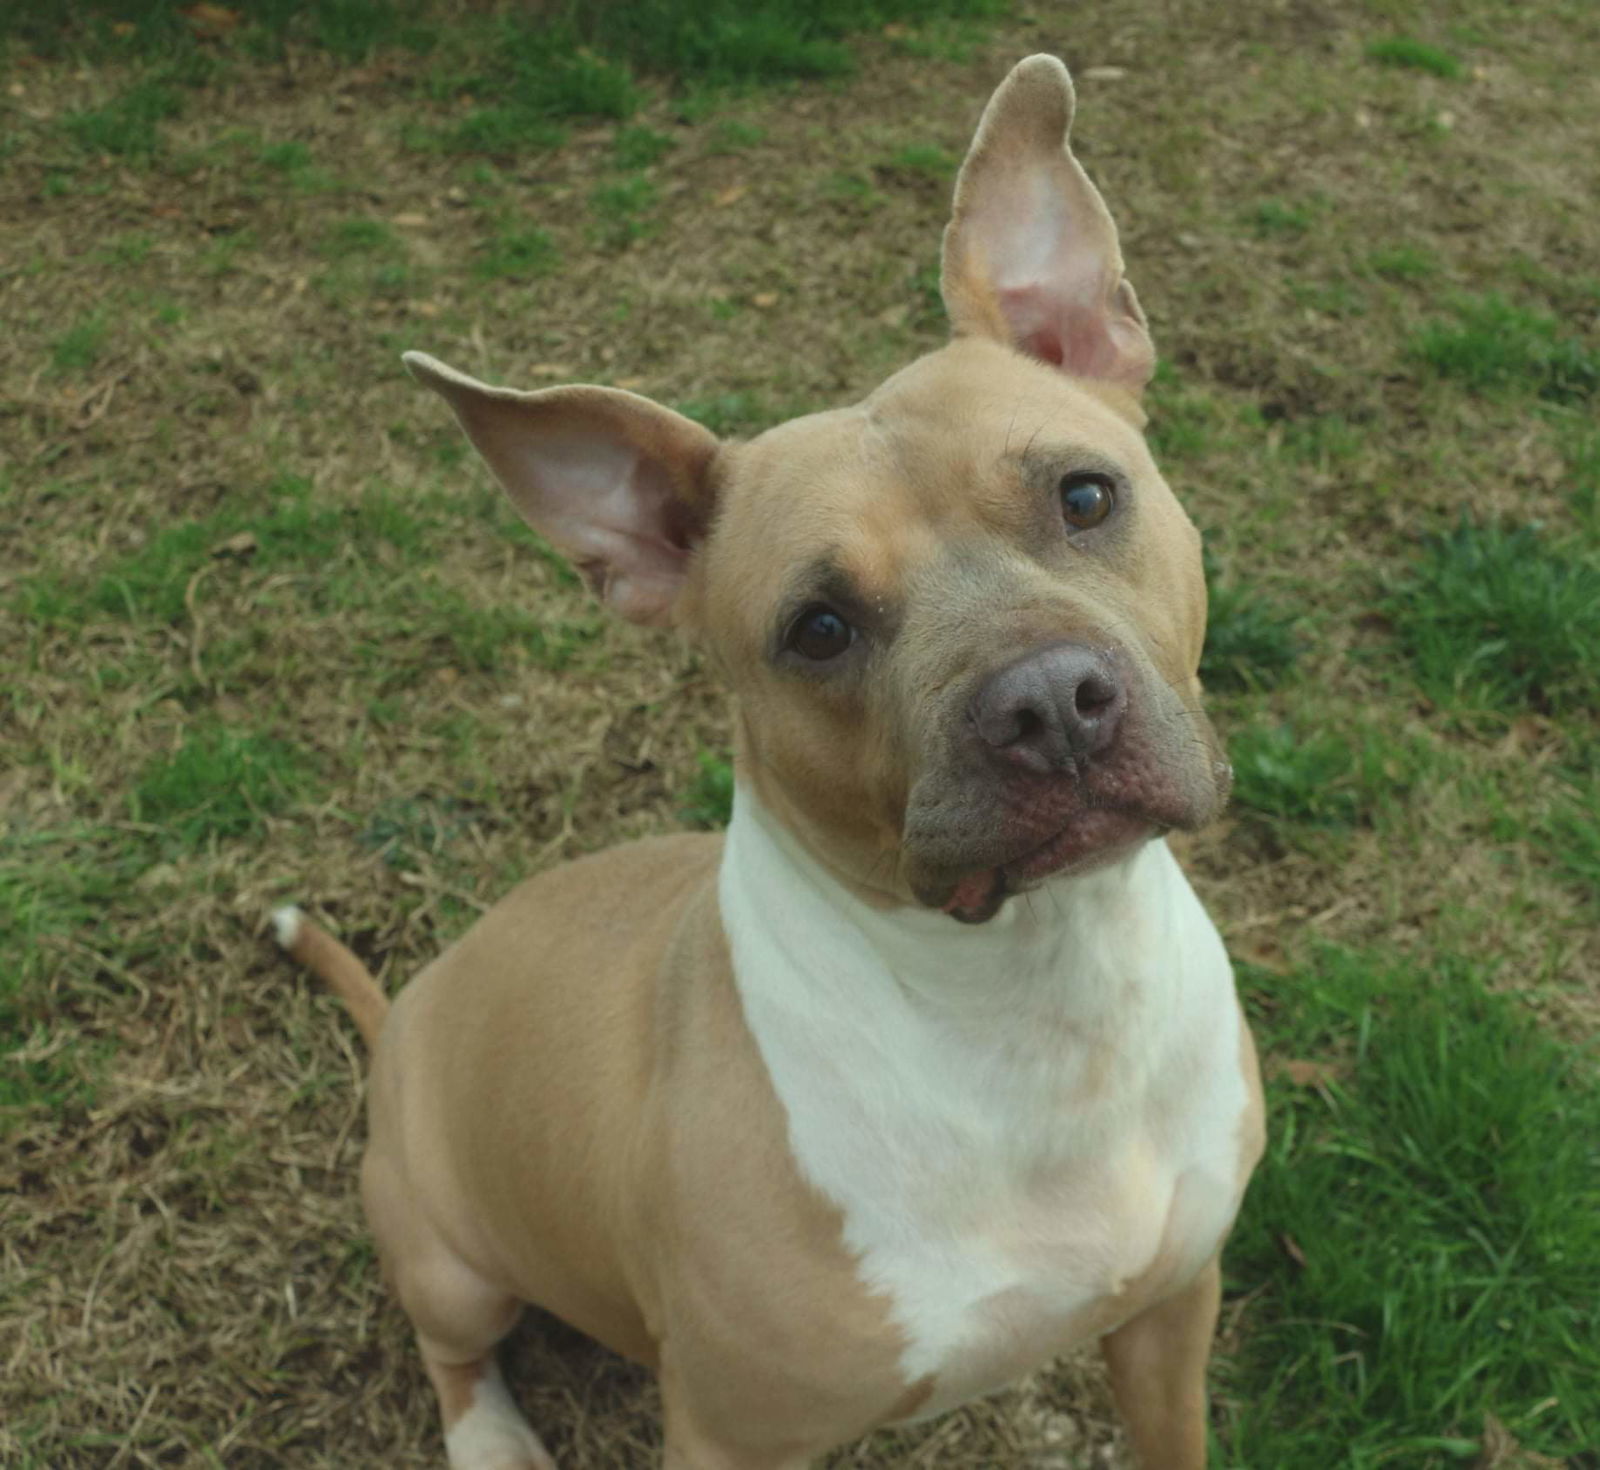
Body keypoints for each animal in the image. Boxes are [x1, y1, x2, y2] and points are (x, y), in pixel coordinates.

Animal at [281, 54, 1267, 1470]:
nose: (1049, 709)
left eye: (1086, 496)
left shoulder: (1172, 1310)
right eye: (818, 629)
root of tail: (407, 1009)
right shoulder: (728, 1430)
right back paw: (493, 1437)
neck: (1038, 990)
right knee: (452, 1346)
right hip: (448, 1254)